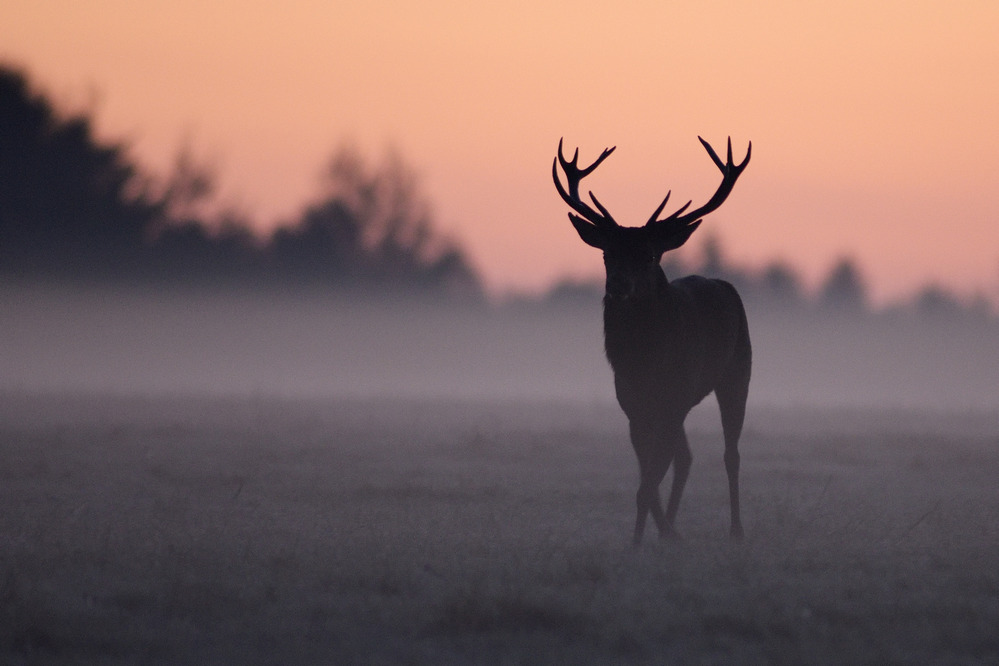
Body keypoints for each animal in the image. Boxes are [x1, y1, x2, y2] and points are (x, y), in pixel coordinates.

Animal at [552, 134, 752, 540]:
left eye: (649, 255)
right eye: (607, 254)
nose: (618, 285)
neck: (643, 359)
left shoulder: (675, 397)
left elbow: (649, 481)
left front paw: (641, 540)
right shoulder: (634, 404)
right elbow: (648, 477)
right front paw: (657, 534)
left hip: (738, 371)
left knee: (731, 454)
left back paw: (737, 531)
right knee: (685, 457)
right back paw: (672, 528)